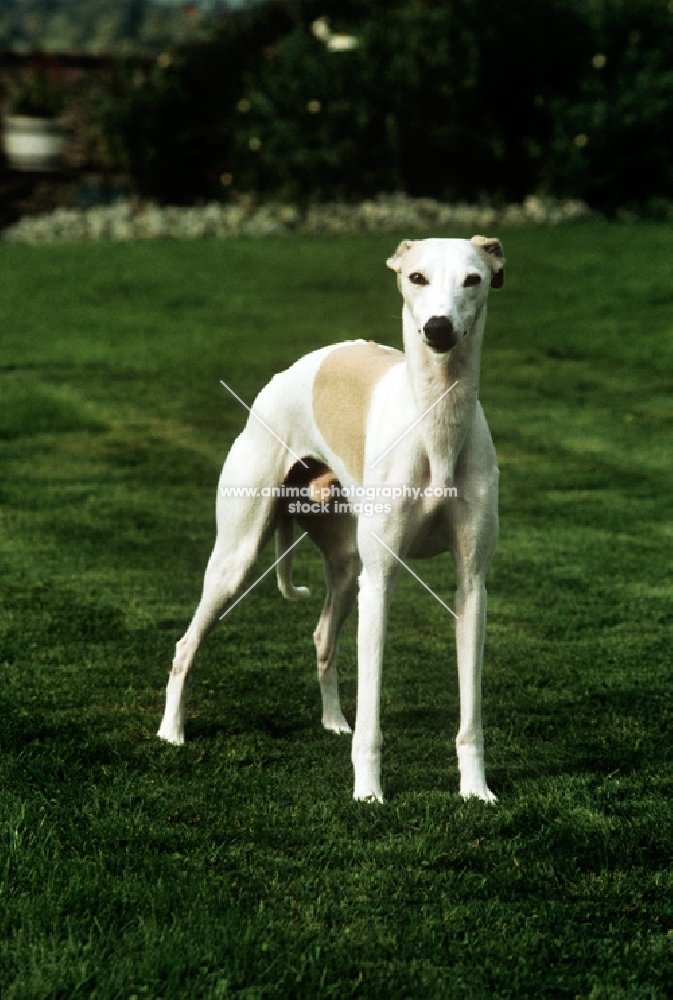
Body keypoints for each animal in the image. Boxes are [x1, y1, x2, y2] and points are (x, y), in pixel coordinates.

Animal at [159, 236, 504, 804]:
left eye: (473, 279)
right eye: (417, 277)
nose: (438, 329)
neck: (435, 424)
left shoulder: (472, 581)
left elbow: (472, 709)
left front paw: (475, 790)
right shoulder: (381, 579)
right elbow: (373, 708)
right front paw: (368, 791)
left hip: (346, 565)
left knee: (323, 636)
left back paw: (333, 721)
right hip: (237, 556)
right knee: (187, 643)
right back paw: (171, 731)